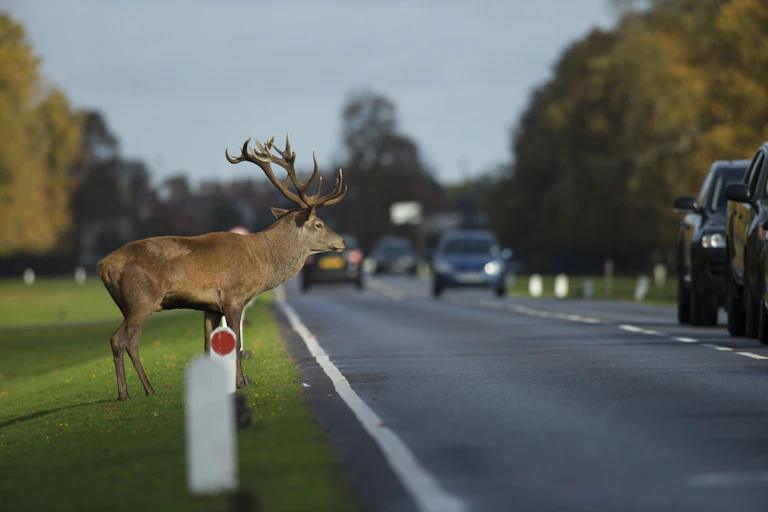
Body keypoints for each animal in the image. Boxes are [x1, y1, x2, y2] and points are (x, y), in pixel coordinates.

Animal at [97, 133, 347, 400]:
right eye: (319, 224)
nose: (343, 242)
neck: (261, 261)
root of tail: (104, 265)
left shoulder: (210, 307)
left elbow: (208, 344)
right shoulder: (233, 297)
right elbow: (235, 342)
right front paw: (241, 382)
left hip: (128, 306)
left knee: (130, 342)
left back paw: (143, 390)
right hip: (142, 299)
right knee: (120, 340)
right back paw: (131, 392)